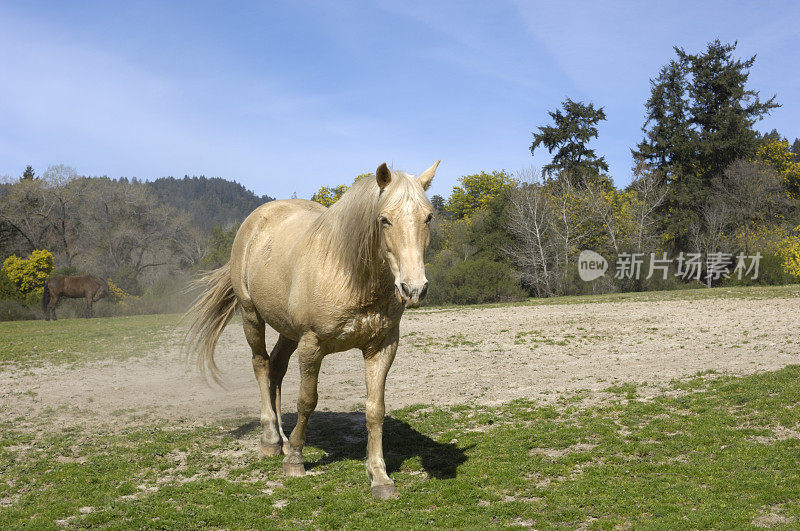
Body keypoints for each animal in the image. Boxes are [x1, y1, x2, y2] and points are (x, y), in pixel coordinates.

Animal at [185, 161, 440, 498]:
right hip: (252, 316)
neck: (350, 275)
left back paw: (281, 438)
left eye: (428, 217)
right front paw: (295, 459)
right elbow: (307, 401)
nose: (414, 289)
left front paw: (379, 476)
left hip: (287, 331)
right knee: (261, 366)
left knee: (276, 368)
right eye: (384, 219)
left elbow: (375, 409)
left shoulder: (382, 346)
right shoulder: (312, 344)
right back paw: (271, 440)